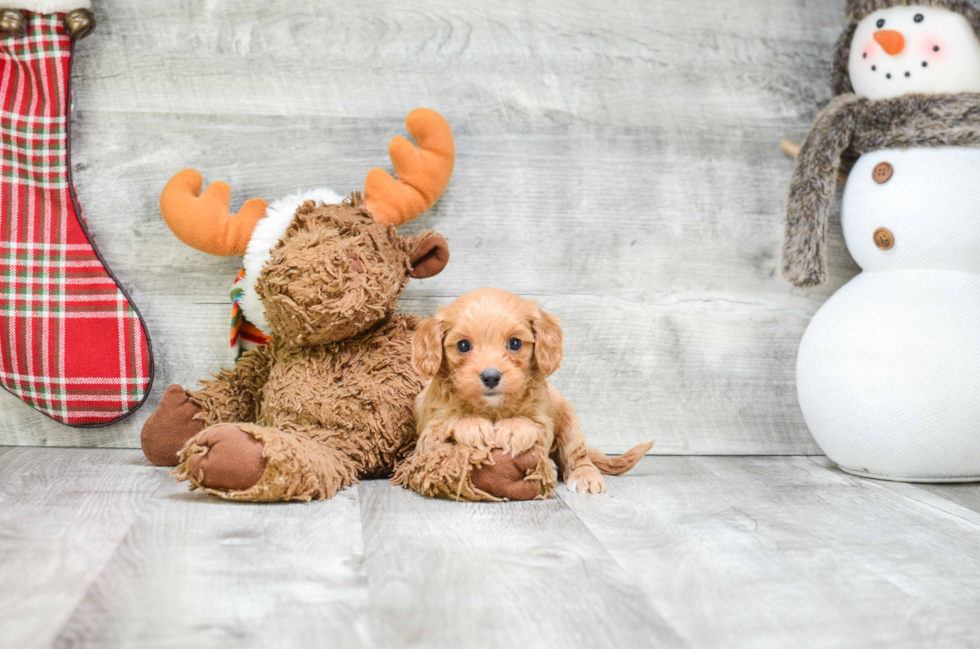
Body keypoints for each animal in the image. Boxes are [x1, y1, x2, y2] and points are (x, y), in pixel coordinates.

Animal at [412, 286, 652, 498]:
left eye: (515, 343)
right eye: (463, 346)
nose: (491, 376)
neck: (492, 409)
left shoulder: (542, 420)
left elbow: (532, 425)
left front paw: (513, 428)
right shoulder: (427, 436)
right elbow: (447, 425)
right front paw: (473, 425)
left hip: (569, 421)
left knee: (576, 454)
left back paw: (585, 475)